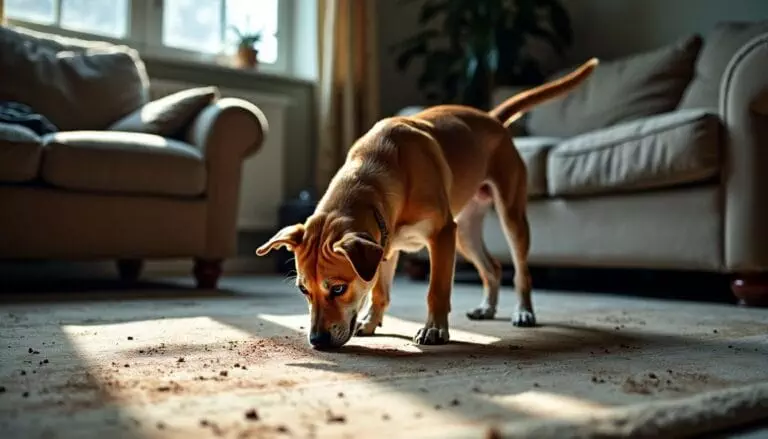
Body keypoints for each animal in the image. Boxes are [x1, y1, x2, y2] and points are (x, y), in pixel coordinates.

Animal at [258, 58, 600, 348]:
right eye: (303, 289)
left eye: (338, 288)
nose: (316, 341)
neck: (378, 171)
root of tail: (492, 119)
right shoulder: (385, 246)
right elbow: (380, 291)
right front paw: (370, 322)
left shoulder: (441, 235)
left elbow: (437, 290)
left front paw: (434, 329)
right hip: (465, 233)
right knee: (492, 267)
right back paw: (487, 308)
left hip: (508, 217)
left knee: (520, 272)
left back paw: (524, 312)